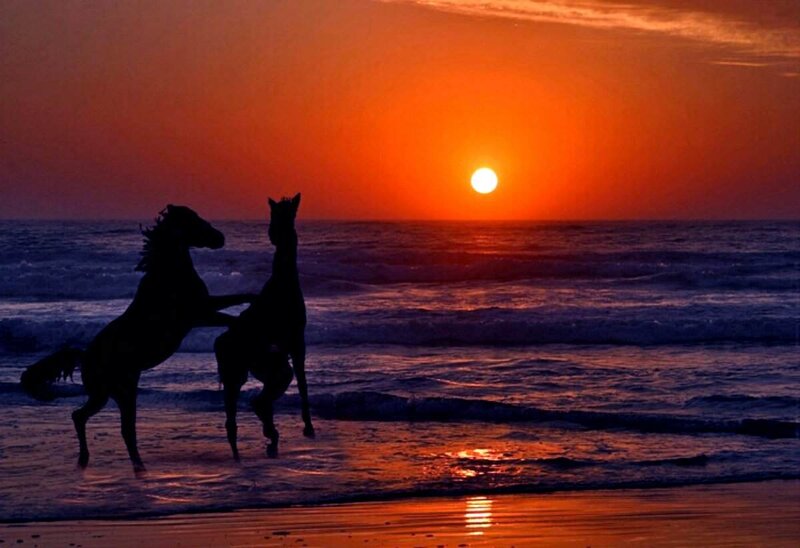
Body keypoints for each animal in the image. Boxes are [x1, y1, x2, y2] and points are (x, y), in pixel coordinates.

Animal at [20, 205, 254, 473]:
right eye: (194, 221)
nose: (220, 238)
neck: (169, 275)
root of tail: (85, 356)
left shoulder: (204, 309)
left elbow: (242, 297)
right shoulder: (198, 314)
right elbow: (232, 318)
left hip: (119, 393)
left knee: (113, 425)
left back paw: (122, 464)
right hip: (107, 393)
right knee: (91, 420)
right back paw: (99, 462)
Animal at [215, 193, 314, 459]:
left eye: (285, 215)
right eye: (274, 215)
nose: (272, 235)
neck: (284, 282)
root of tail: (219, 343)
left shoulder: (287, 348)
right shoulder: (297, 341)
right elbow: (303, 383)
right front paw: (308, 427)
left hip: (247, 371)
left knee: (243, 413)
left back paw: (267, 438)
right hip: (241, 372)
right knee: (246, 409)